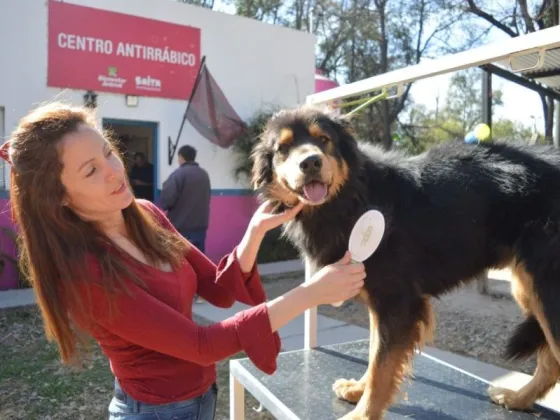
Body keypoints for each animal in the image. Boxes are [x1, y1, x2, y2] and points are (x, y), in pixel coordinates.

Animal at [252, 105, 560, 420]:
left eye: (323, 139)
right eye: (283, 148)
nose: (311, 162)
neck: (352, 198)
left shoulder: (397, 301)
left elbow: (382, 365)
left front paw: (363, 413)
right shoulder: (380, 301)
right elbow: (375, 351)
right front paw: (358, 389)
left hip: (547, 292)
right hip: (528, 288)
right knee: (551, 362)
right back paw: (518, 398)